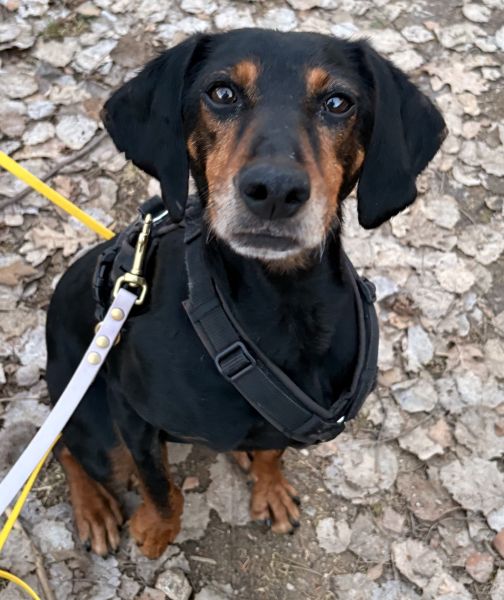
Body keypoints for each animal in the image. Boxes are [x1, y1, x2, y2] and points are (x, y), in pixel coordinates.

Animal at [45, 28, 445, 559]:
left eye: (339, 102)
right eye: (222, 93)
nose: (275, 190)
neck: (283, 304)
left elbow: (272, 449)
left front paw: (269, 488)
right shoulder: (128, 408)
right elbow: (160, 485)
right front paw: (155, 530)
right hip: (94, 424)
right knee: (67, 446)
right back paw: (94, 510)